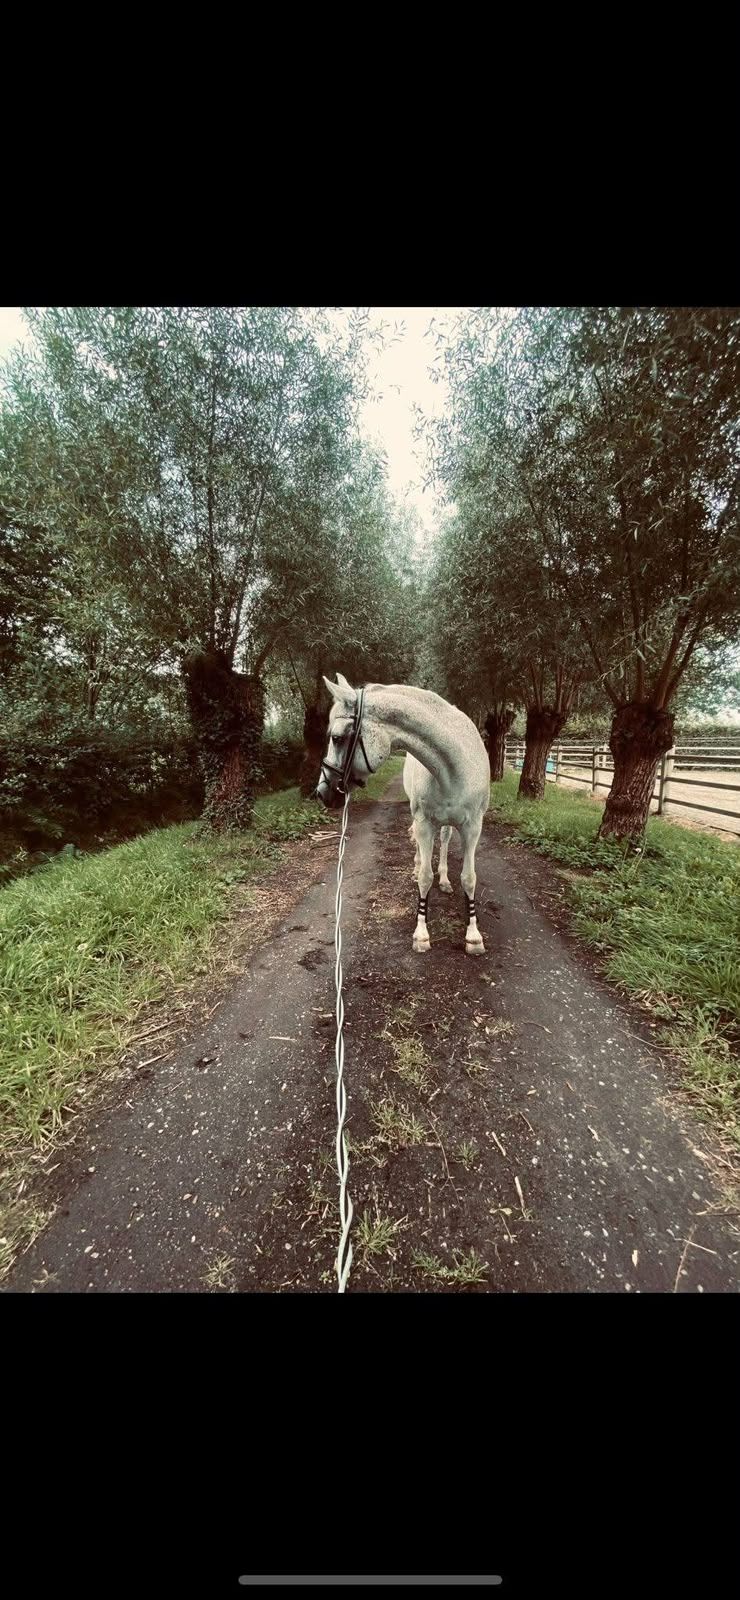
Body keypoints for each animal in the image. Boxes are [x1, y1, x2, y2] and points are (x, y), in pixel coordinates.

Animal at [316, 674, 491, 955]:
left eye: (337, 738)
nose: (322, 792)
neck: (454, 766)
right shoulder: (423, 823)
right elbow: (425, 877)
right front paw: (421, 934)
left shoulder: (474, 827)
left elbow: (469, 878)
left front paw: (473, 936)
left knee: (444, 840)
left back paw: (444, 879)